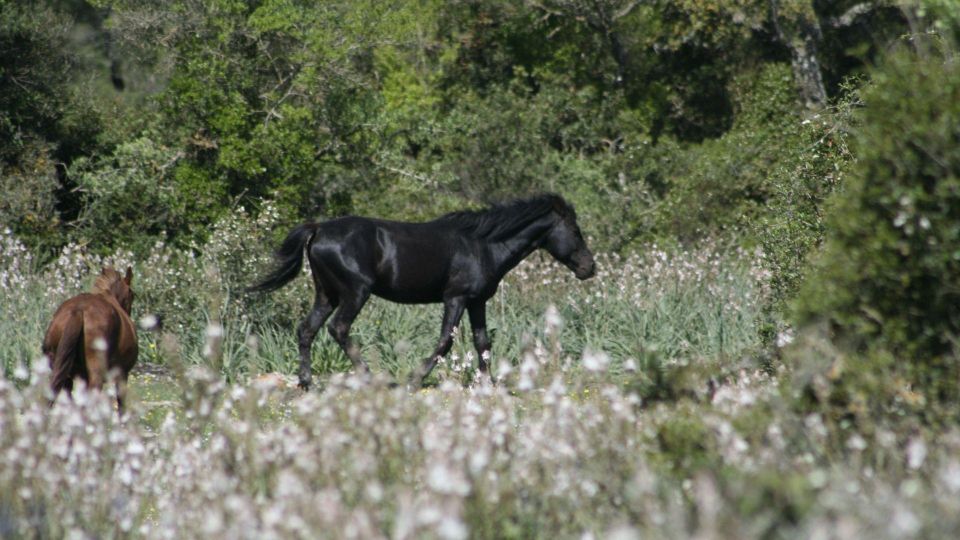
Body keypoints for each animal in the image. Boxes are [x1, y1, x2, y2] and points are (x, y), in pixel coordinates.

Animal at [42, 266, 139, 414]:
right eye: (132, 295)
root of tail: (79, 310)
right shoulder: (122, 373)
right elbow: (121, 403)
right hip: (96, 373)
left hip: (60, 368)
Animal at [249, 194, 592, 388]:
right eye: (575, 230)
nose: (590, 268)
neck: (483, 244)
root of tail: (318, 229)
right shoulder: (455, 298)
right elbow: (445, 342)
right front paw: (415, 379)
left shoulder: (477, 301)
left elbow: (482, 341)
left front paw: (487, 383)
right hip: (354, 293)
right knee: (338, 328)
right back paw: (369, 377)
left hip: (326, 294)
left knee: (307, 329)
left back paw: (306, 382)